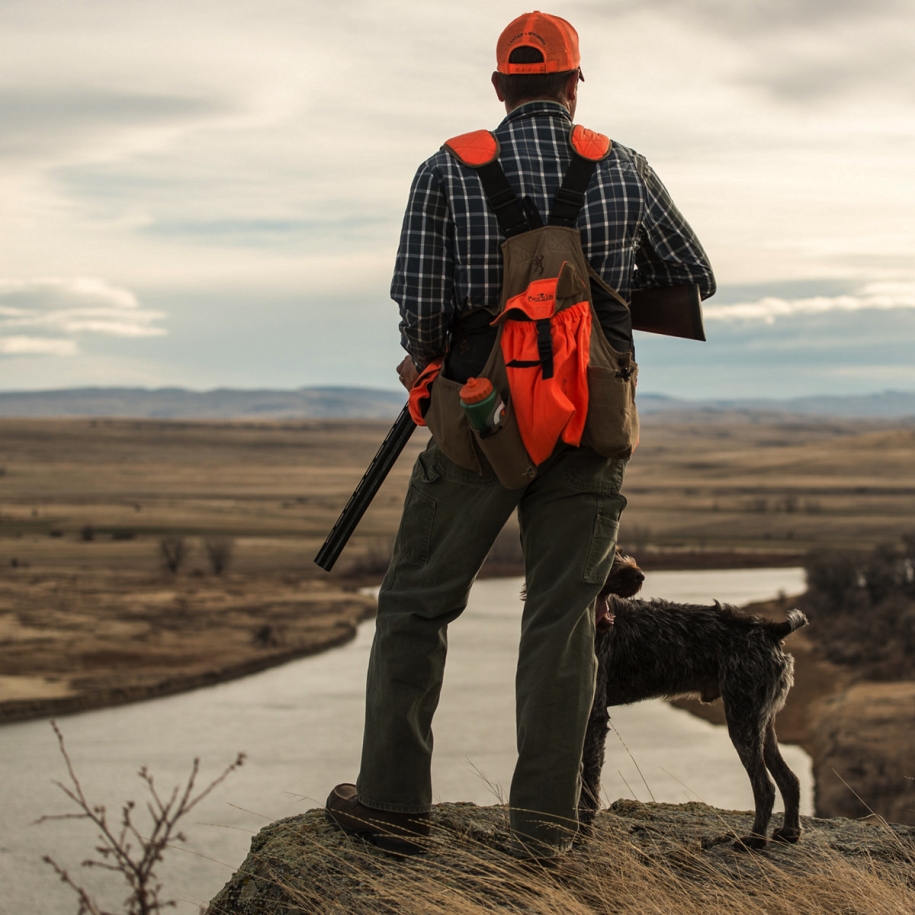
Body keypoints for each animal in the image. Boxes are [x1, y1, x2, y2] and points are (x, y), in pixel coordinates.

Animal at [588, 556, 808, 856]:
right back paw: (789, 832)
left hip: (742, 721)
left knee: (765, 786)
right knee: (789, 779)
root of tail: (770, 628)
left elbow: (588, 783)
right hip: (761, 722)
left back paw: (755, 839)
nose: (638, 575)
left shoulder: (595, 715)